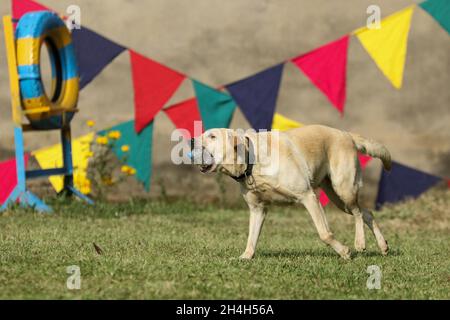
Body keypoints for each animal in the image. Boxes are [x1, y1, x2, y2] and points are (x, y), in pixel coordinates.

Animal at [190, 125, 390, 260]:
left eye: (212, 136)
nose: (191, 141)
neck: (252, 161)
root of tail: (346, 134)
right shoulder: (257, 209)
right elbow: (251, 238)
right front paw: (246, 256)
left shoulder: (308, 196)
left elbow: (324, 234)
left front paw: (344, 251)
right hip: (337, 197)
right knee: (366, 212)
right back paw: (383, 246)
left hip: (344, 188)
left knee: (358, 213)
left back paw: (360, 242)